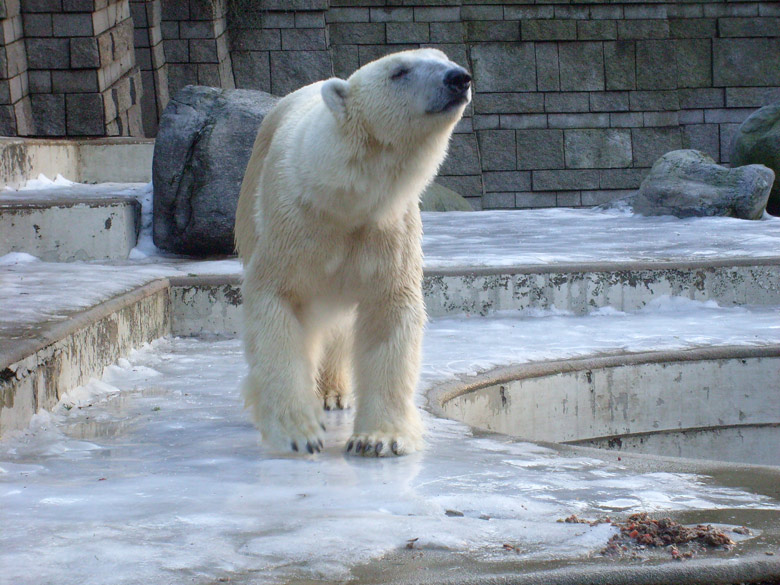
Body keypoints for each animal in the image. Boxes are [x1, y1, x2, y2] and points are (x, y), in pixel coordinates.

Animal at [235, 49, 472, 456]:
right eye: (399, 71)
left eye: (443, 57)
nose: (459, 78)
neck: (344, 199)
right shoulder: (291, 227)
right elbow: (274, 302)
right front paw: (298, 433)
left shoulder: (386, 229)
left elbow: (389, 314)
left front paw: (378, 439)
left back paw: (333, 393)